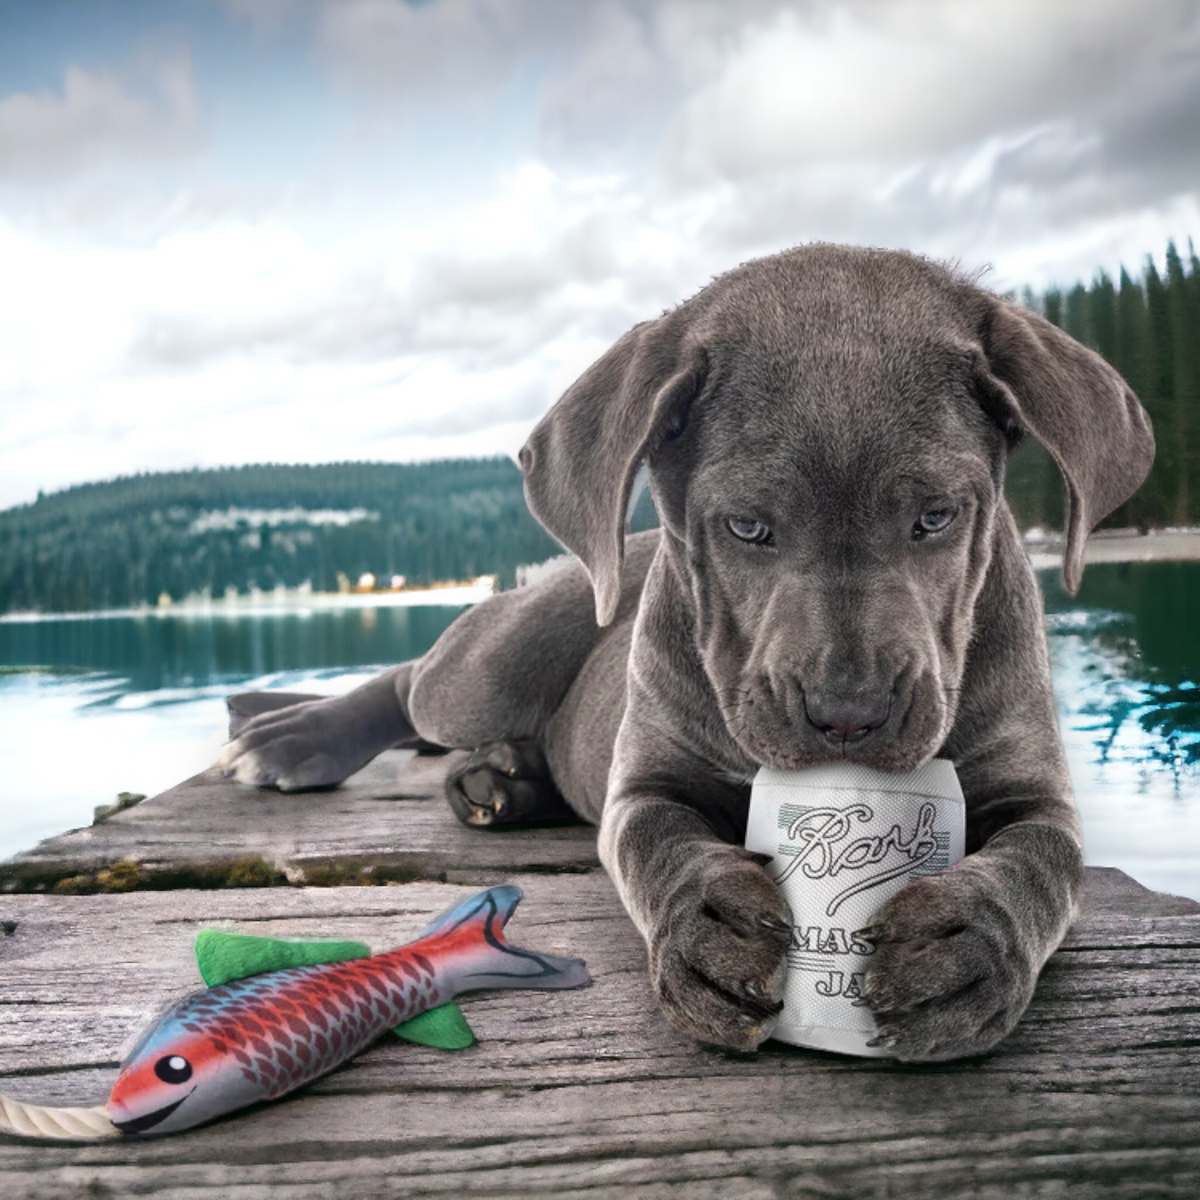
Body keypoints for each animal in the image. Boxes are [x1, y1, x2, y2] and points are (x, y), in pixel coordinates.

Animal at [223, 241, 1152, 1060]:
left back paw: (503, 782)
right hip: (489, 666)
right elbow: (657, 841)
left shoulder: (1037, 790)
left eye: (936, 517)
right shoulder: (647, 781)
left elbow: (1041, 863)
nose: (847, 716)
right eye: (745, 527)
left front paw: (965, 949)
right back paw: (286, 734)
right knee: (414, 681)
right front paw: (709, 928)